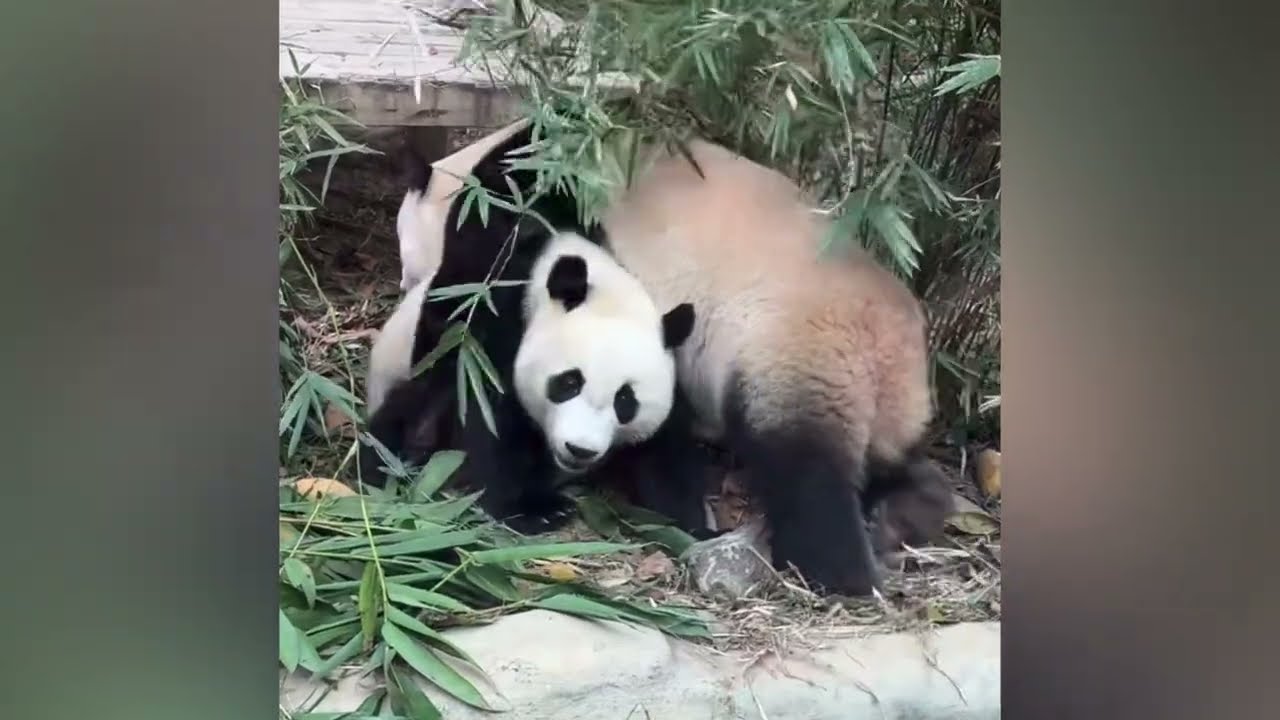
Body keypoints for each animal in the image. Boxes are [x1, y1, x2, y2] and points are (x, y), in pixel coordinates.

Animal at [362, 128, 713, 536]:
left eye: (626, 401)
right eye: (569, 382)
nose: (581, 450)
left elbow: (665, 448)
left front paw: (692, 522)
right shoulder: (500, 318)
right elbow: (492, 418)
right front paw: (535, 508)